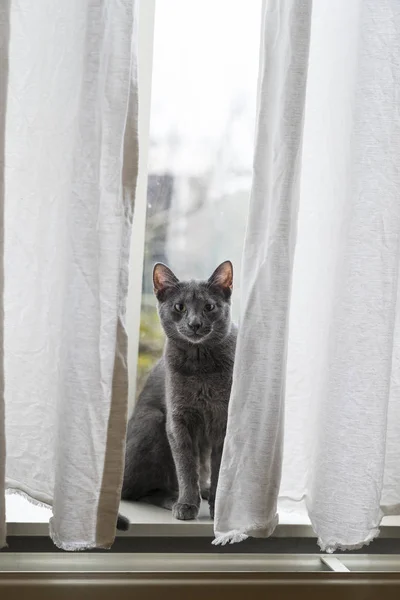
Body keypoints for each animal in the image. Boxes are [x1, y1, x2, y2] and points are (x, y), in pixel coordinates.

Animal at [120, 260, 236, 524]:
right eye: (179, 307)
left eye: (209, 307)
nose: (194, 324)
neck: (201, 365)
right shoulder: (178, 419)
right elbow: (185, 467)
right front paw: (187, 504)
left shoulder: (222, 421)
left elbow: (217, 468)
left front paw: (216, 508)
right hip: (153, 421)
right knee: (134, 492)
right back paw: (172, 499)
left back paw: (203, 492)